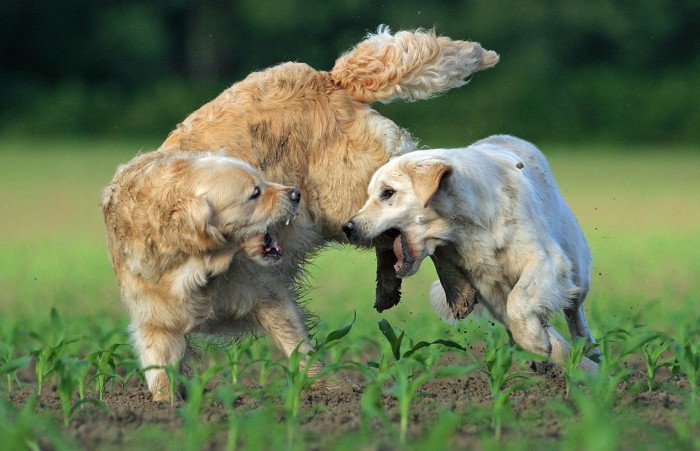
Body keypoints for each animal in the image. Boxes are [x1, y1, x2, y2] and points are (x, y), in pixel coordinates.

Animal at [342, 136, 600, 372]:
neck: (466, 225)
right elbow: (520, 314)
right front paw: (545, 347)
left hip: (577, 269)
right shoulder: (490, 288)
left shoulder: (546, 259)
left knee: (574, 310)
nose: (347, 228)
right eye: (369, 195)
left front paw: (540, 343)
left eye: (388, 193)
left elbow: (519, 302)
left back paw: (589, 352)